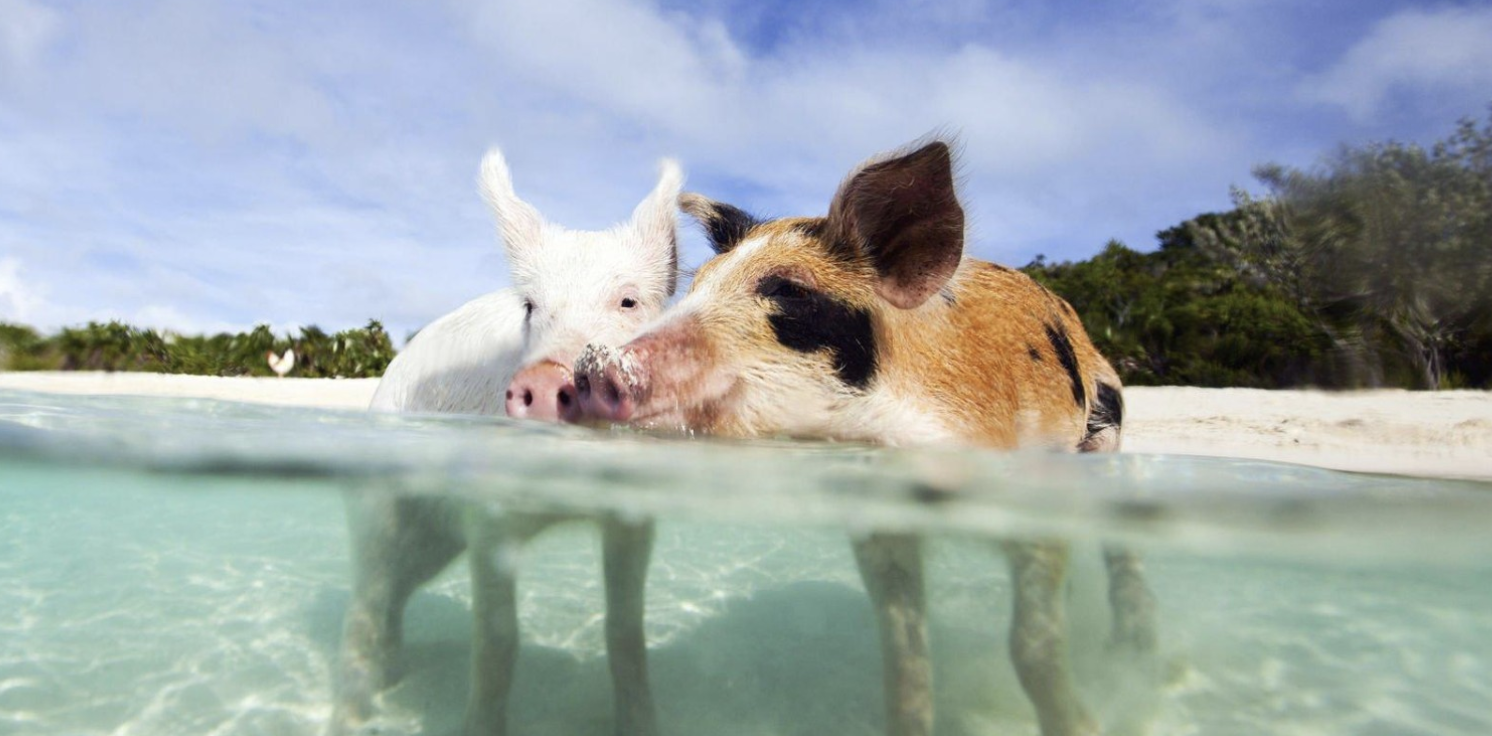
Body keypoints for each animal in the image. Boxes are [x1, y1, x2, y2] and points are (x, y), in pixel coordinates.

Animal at [332, 147, 681, 736]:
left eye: (629, 301)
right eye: (530, 307)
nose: (544, 378)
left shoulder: (633, 515)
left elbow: (624, 634)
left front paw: (644, 723)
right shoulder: (488, 516)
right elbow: (497, 643)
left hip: (434, 542)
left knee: (395, 595)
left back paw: (394, 676)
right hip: (380, 502)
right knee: (367, 599)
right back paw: (355, 713)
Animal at [572, 139, 1157, 736]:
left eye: (789, 291)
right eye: (697, 285)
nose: (594, 364)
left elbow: (1032, 647)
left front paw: (1082, 721)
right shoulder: (881, 526)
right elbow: (904, 655)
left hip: (1104, 434)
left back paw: (1131, 651)